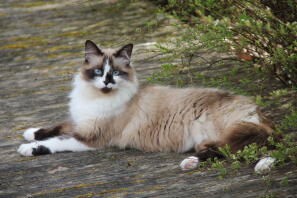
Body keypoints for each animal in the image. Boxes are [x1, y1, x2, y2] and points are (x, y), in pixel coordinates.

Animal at [16, 41, 276, 172]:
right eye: (99, 71)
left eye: (116, 73)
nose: (107, 82)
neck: (96, 97)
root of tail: (258, 109)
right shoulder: (80, 122)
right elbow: (56, 127)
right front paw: (31, 133)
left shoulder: (90, 137)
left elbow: (55, 141)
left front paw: (28, 148)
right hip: (213, 138)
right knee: (220, 150)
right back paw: (190, 163)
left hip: (235, 132)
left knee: (265, 147)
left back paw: (263, 166)